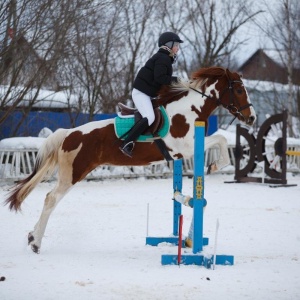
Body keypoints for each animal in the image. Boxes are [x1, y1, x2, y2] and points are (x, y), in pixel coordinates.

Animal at [3, 66, 255, 253]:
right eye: (239, 89)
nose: (251, 118)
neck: (188, 111)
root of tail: (68, 134)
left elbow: (219, 140)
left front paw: (214, 165)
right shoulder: (184, 148)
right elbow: (220, 139)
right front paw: (214, 165)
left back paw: (32, 237)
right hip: (73, 173)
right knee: (51, 199)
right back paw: (36, 242)